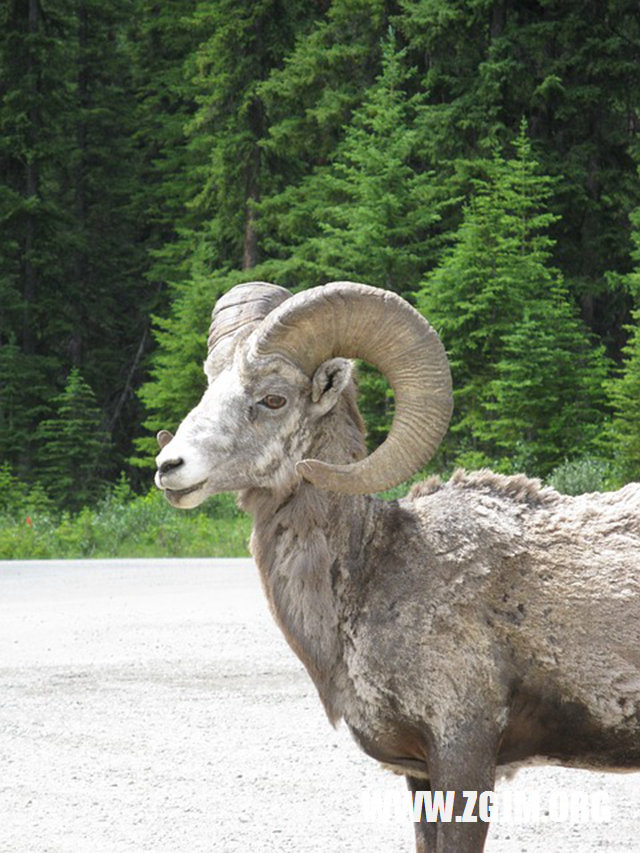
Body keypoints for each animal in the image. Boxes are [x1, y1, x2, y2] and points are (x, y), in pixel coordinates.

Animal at [155, 282, 640, 848]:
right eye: (210, 384)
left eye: (273, 398)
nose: (169, 467)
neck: (377, 570)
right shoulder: (419, 774)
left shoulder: (464, 758)